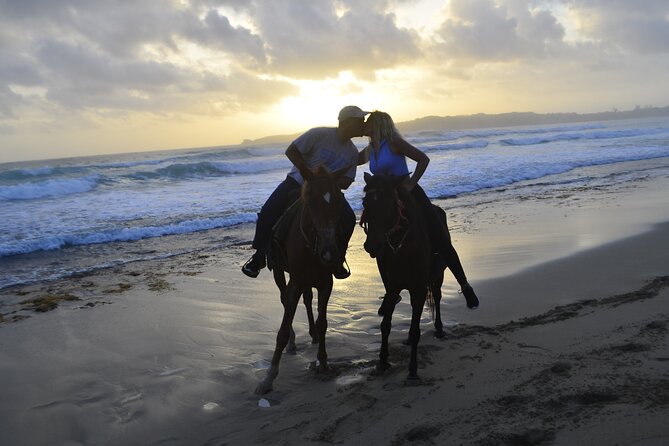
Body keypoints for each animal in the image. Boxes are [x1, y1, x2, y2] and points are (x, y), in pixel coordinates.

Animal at [254, 164, 350, 394]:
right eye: (311, 202)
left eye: (338, 200)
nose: (329, 252)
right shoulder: (295, 282)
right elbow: (281, 329)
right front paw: (268, 379)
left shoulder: (326, 283)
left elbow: (323, 322)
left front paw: (323, 362)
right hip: (279, 271)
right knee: (283, 298)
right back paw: (293, 342)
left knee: (307, 300)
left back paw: (313, 335)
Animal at [358, 172, 446, 382]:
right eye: (365, 202)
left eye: (390, 202)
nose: (372, 245)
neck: (402, 247)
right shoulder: (392, 287)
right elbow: (385, 325)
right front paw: (382, 361)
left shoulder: (419, 288)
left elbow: (415, 330)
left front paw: (412, 369)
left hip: (437, 276)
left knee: (437, 297)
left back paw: (439, 329)